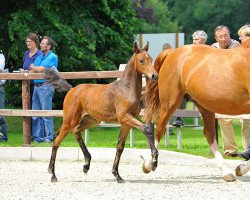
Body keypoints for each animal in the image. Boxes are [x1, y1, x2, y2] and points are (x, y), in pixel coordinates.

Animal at [48, 42, 158, 183]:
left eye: (151, 59)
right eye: (141, 60)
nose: (154, 76)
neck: (126, 89)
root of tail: (72, 90)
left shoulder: (126, 123)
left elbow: (120, 147)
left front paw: (117, 175)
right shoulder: (125, 117)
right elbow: (146, 129)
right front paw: (153, 162)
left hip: (91, 120)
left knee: (76, 131)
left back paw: (86, 165)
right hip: (70, 120)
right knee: (57, 141)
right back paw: (53, 175)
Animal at [144, 38, 250, 182]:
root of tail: (172, 52)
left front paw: (240, 168)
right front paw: (241, 168)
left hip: (204, 105)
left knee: (209, 134)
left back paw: (226, 172)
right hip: (170, 102)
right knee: (160, 129)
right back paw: (149, 163)